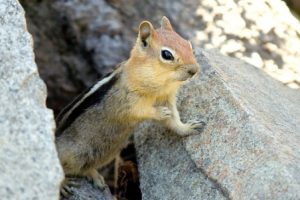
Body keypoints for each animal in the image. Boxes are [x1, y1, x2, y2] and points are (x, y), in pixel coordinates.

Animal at [54, 16, 204, 195]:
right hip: (74, 153)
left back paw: (96, 177)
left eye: (188, 44)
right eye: (167, 54)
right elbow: (142, 111)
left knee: (84, 168)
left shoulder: (167, 99)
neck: (159, 85)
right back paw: (63, 184)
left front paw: (189, 127)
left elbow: (174, 121)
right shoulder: (129, 100)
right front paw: (160, 113)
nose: (194, 70)